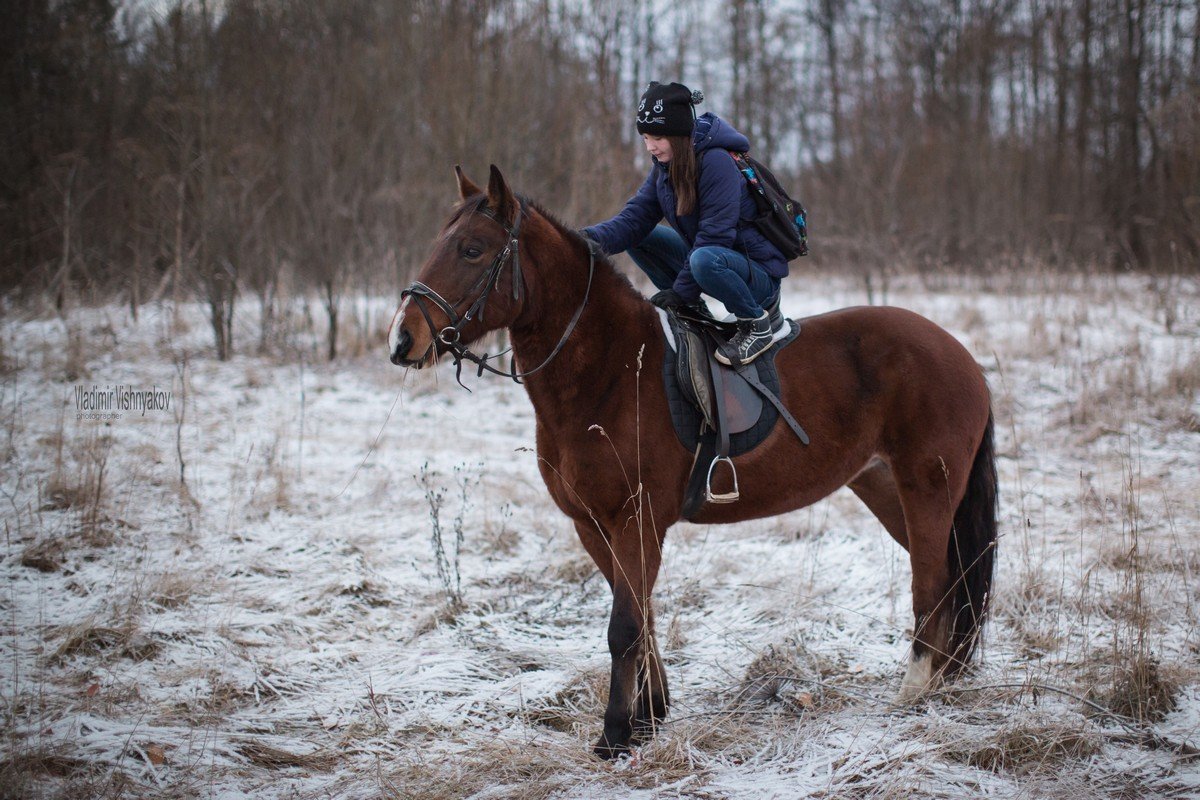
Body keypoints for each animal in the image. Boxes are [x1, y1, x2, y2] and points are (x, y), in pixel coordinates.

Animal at [388, 167, 998, 758]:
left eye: (472, 250)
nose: (402, 339)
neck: (608, 370)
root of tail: (960, 354)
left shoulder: (636, 520)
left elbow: (625, 625)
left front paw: (615, 736)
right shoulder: (594, 525)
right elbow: (641, 617)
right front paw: (650, 716)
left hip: (926, 489)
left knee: (933, 583)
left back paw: (913, 693)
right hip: (884, 487)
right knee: (950, 579)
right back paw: (940, 681)